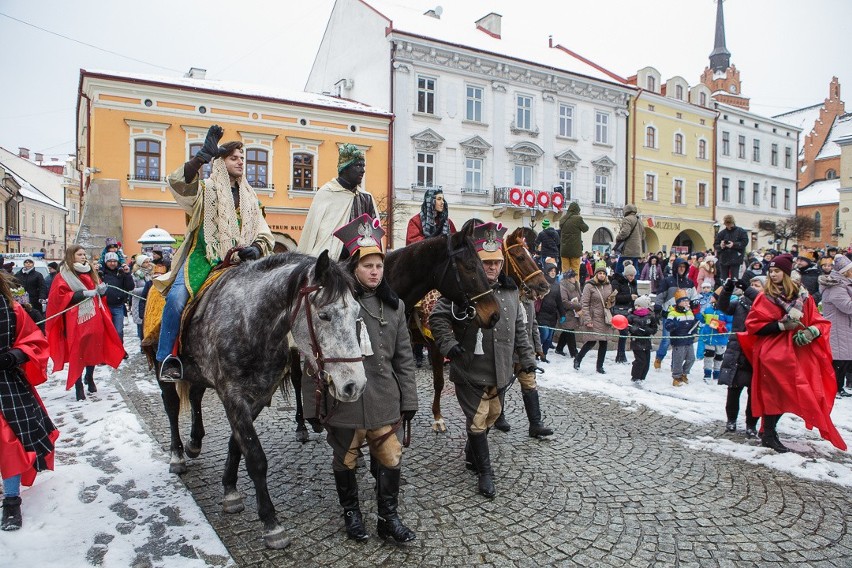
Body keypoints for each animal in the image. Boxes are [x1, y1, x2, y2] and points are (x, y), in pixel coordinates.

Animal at [148, 251, 364, 548]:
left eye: (356, 313)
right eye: (324, 315)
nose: (355, 385)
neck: (248, 323)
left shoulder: (259, 396)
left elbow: (236, 444)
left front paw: (229, 489)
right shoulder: (232, 395)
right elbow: (255, 456)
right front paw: (271, 524)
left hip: (197, 372)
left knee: (195, 396)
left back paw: (194, 443)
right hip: (162, 368)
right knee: (170, 408)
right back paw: (178, 455)